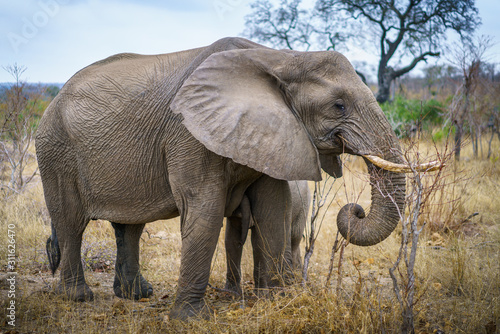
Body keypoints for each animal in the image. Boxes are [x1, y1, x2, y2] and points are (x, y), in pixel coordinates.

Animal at [34, 37, 414, 320]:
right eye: (338, 106)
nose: (356, 210)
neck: (280, 58)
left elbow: (273, 209)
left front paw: (273, 303)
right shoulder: (187, 132)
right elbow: (204, 209)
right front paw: (190, 319)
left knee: (130, 226)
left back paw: (137, 295)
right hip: (55, 150)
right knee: (71, 222)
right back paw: (78, 297)